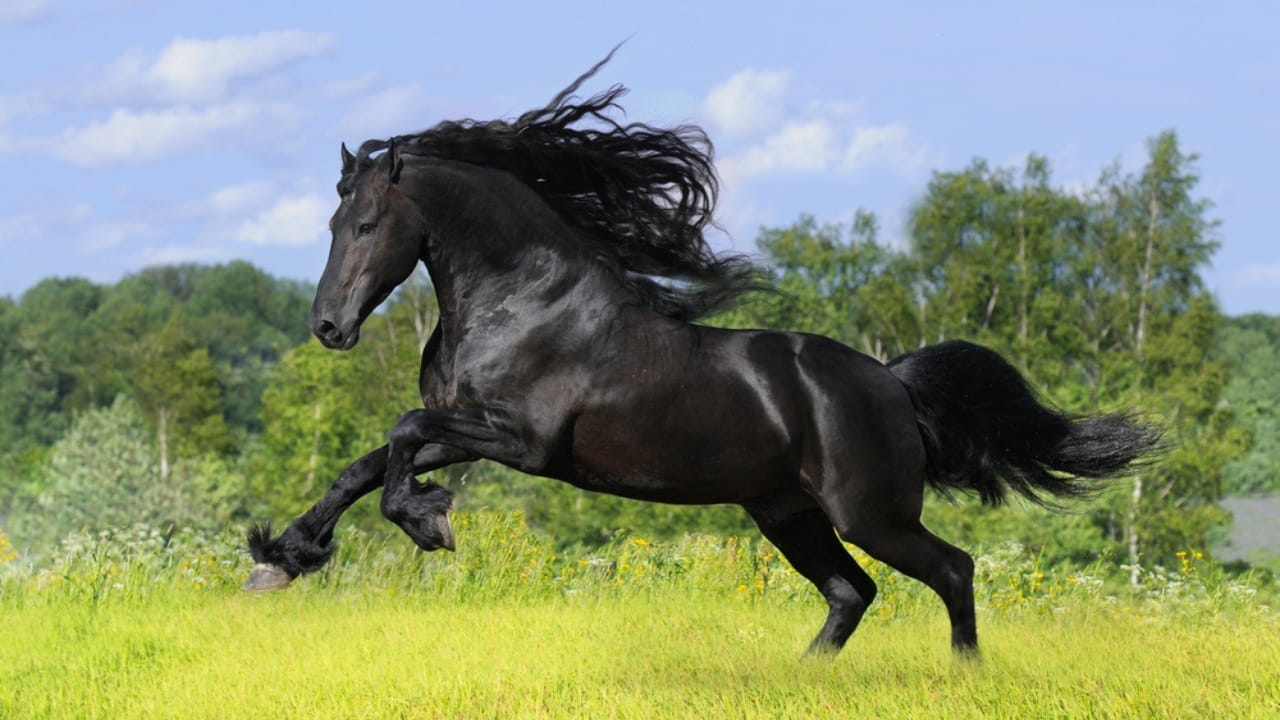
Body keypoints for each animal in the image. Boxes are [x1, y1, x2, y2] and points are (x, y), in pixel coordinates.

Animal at [245, 50, 1159, 656]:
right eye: (332, 222)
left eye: (368, 224)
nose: (329, 328)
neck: (524, 301)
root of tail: (892, 383)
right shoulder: (468, 427)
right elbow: (362, 465)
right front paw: (281, 559)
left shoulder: (521, 440)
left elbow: (399, 435)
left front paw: (427, 523)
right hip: (788, 513)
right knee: (852, 591)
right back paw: (805, 677)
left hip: (870, 512)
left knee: (953, 570)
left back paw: (964, 674)